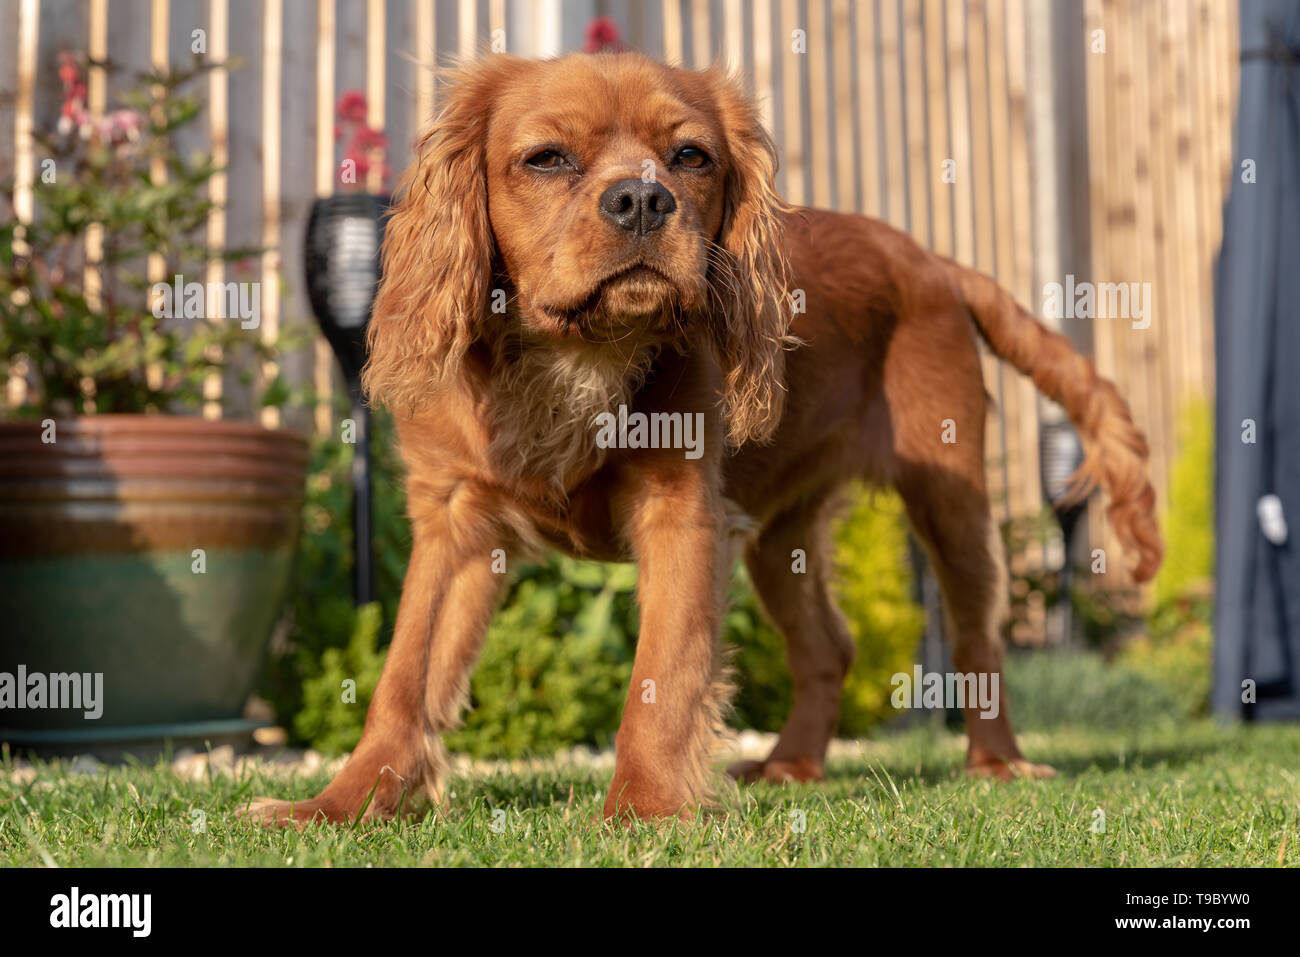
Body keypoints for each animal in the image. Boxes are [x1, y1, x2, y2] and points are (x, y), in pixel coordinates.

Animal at [239, 52, 1164, 826]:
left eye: (690, 158)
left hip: (950, 499)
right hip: (779, 540)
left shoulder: (681, 514)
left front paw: (646, 810)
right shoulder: (455, 523)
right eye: (546, 159)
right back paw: (792, 766)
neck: (580, 353)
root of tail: (932, 259)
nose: (643, 199)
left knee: (978, 637)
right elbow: (404, 678)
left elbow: (662, 673)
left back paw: (997, 762)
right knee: (830, 647)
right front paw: (342, 804)